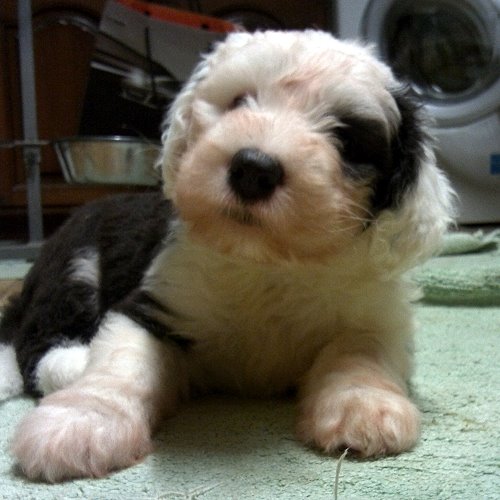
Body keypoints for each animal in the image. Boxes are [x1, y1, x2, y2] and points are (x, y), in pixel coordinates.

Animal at [0, 30, 454, 482]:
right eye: (238, 102)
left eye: (346, 137)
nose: (253, 169)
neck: (267, 263)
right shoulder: (158, 301)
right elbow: (122, 363)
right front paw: (82, 421)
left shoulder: (374, 313)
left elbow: (360, 353)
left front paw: (364, 408)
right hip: (75, 263)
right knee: (33, 342)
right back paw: (73, 363)